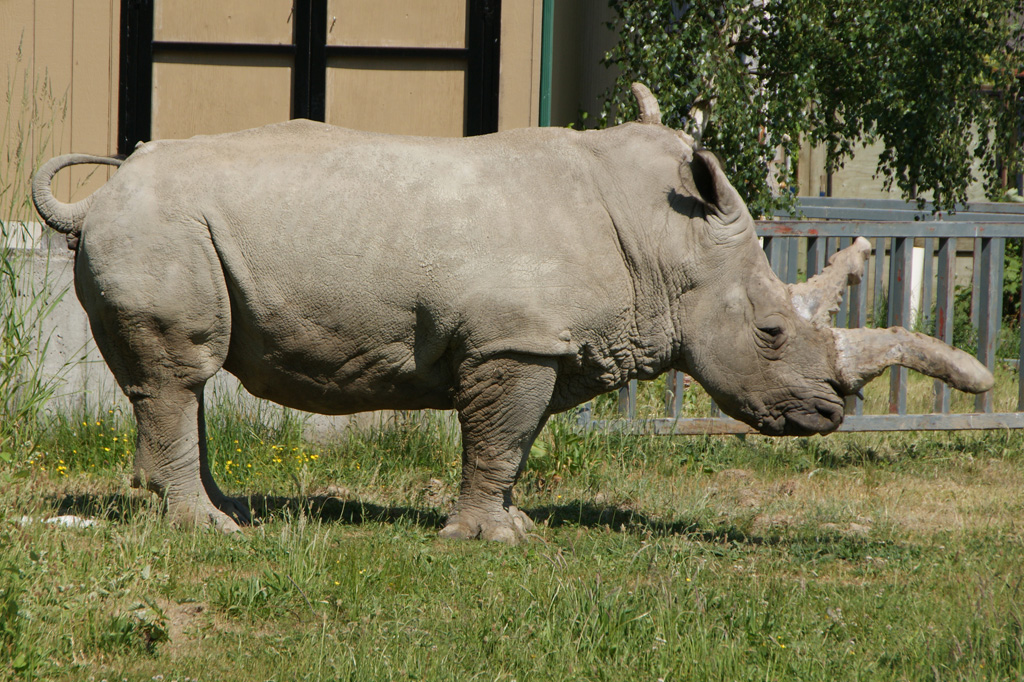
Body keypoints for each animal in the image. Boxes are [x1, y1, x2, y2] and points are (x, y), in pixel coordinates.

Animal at [32, 84, 992, 542]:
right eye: (771, 333)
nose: (830, 412)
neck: (667, 246)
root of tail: (99, 199)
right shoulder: (513, 342)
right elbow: (498, 438)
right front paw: (491, 541)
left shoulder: (542, 346)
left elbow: (516, 443)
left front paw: (515, 524)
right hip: (158, 229)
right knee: (182, 370)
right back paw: (215, 531)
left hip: (160, 229)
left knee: (181, 381)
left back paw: (230, 511)